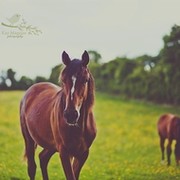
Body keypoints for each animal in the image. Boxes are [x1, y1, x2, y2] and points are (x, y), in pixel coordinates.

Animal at [19, 51, 97, 180]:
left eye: (85, 80)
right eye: (63, 80)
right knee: (32, 168)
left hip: (52, 146)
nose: (71, 115)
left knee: (43, 158)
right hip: (29, 140)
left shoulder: (83, 154)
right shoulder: (65, 153)